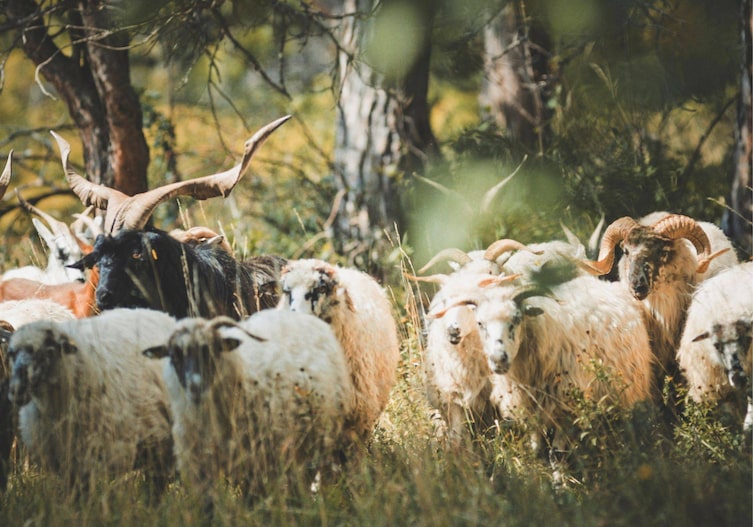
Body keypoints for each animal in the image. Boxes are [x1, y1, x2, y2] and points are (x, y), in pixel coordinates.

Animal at [142, 310, 355, 507]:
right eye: (174, 356)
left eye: (211, 350)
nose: (195, 386)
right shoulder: (201, 468)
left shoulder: (256, 464)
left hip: (313, 444)